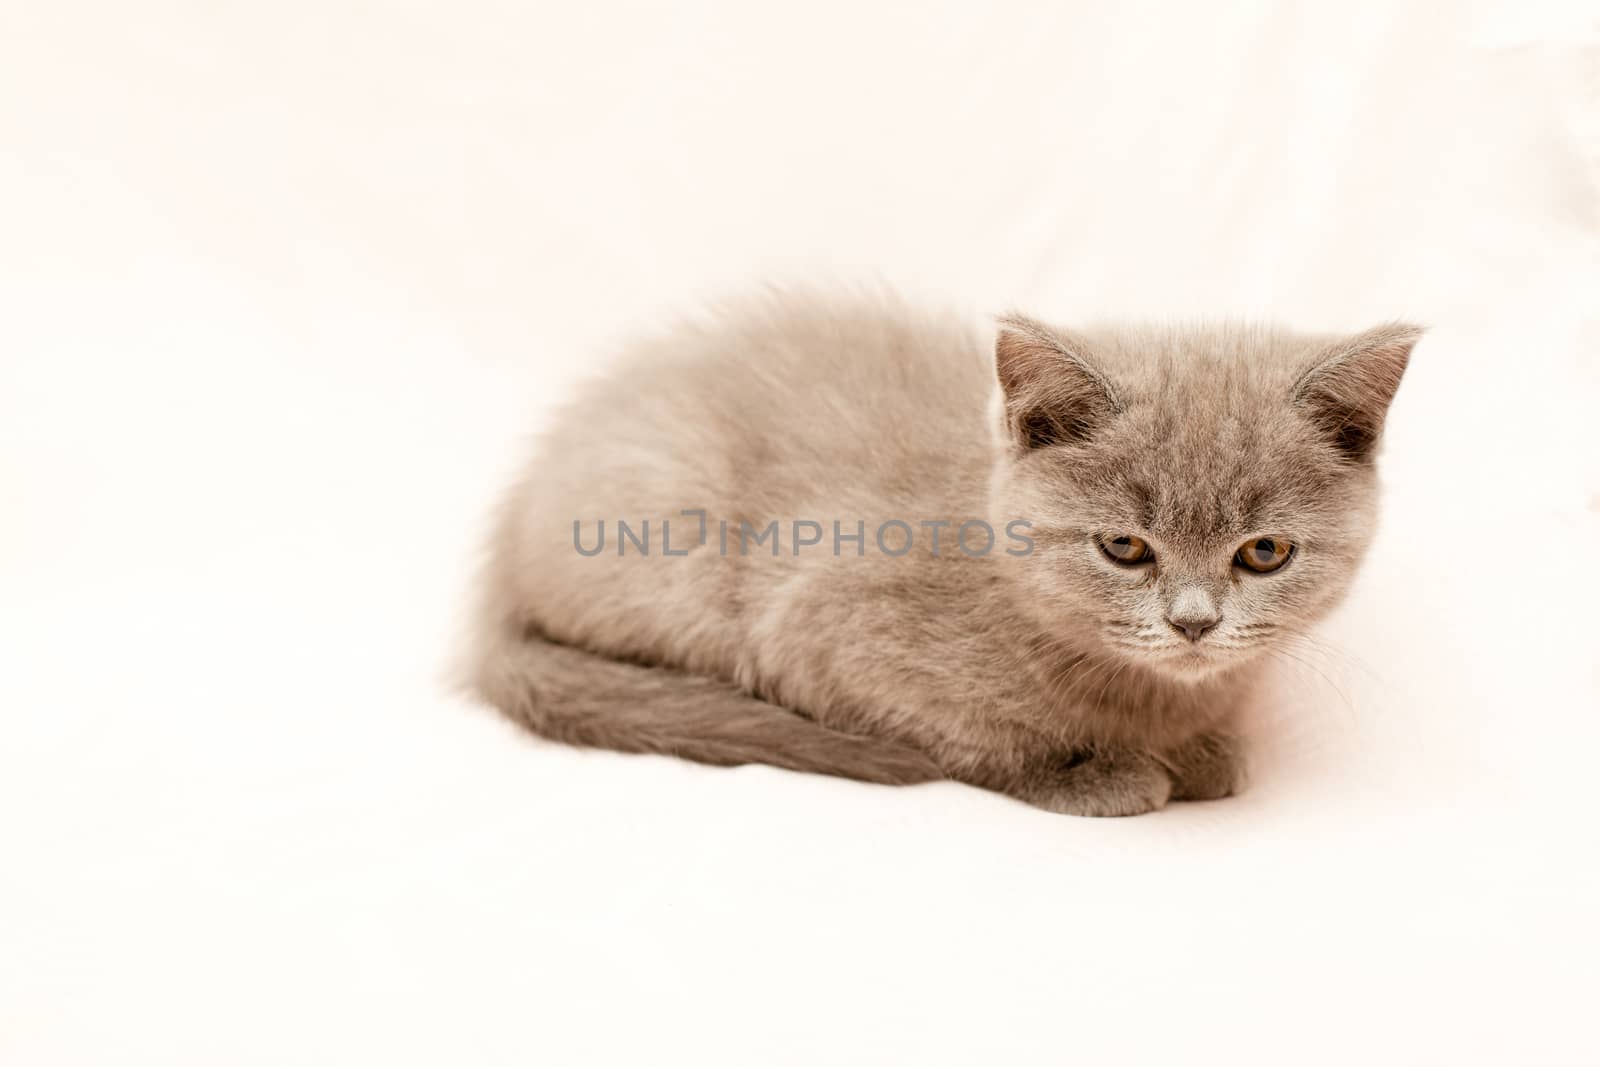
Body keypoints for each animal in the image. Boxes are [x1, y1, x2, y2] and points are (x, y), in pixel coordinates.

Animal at [467, 292, 1420, 819]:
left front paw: (1202, 748)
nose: (1194, 623)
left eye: (1264, 552)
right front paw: (1095, 771)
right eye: (1124, 547)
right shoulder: (815, 626)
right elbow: (962, 737)